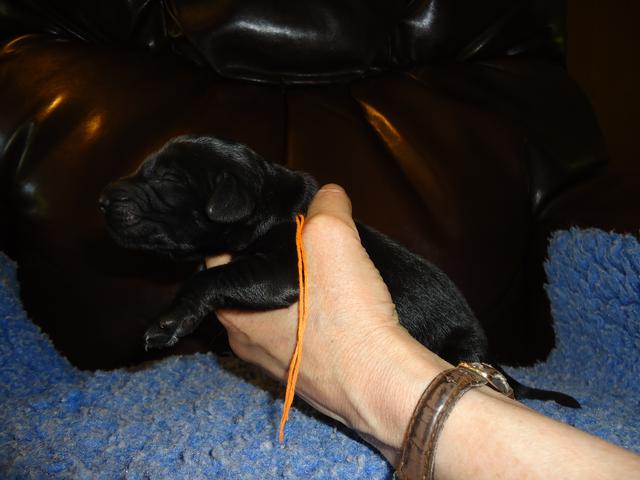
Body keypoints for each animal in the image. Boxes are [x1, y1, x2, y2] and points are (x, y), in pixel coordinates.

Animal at [99, 135, 579, 407]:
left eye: (166, 179)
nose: (102, 199)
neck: (269, 202)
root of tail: (486, 357)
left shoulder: (286, 268)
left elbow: (211, 277)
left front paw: (169, 321)